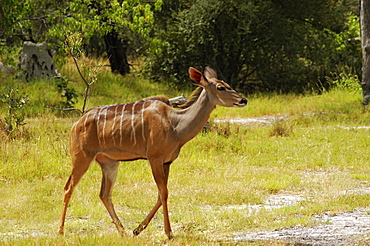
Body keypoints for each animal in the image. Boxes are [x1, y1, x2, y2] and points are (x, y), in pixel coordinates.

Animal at [59, 65, 247, 238]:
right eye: (220, 87)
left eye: (227, 84)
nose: (243, 100)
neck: (176, 125)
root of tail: (76, 124)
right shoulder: (154, 158)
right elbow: (164, 192)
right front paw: (169, 233)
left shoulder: (167, 162)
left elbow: (160, 194)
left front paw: (137, 229)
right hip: (82, 158)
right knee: (68, 188)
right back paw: (61, 231)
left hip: (109, 163)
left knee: (104, 194)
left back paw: (123, 232)